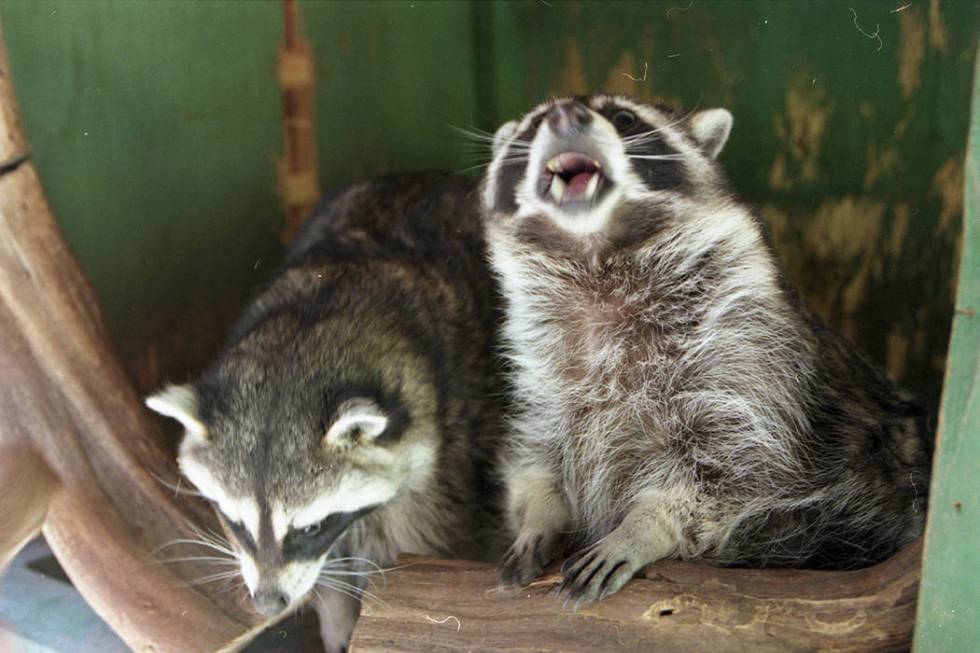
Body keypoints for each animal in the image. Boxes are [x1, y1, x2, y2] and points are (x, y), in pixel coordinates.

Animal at [145, 171, 506, 648]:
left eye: (309, 529)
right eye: (237, 524)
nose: (268, 604)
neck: (317, 320)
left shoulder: (444, 456)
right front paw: (334, 620)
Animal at [482, 94, 936, 604]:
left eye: (624, 118)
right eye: (534, 125)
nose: (563, 116)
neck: (595, 256)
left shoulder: (747, 354)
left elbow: (727, 473)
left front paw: (644, 527)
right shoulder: (541, 371)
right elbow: (537, 452)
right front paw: (537, 516)